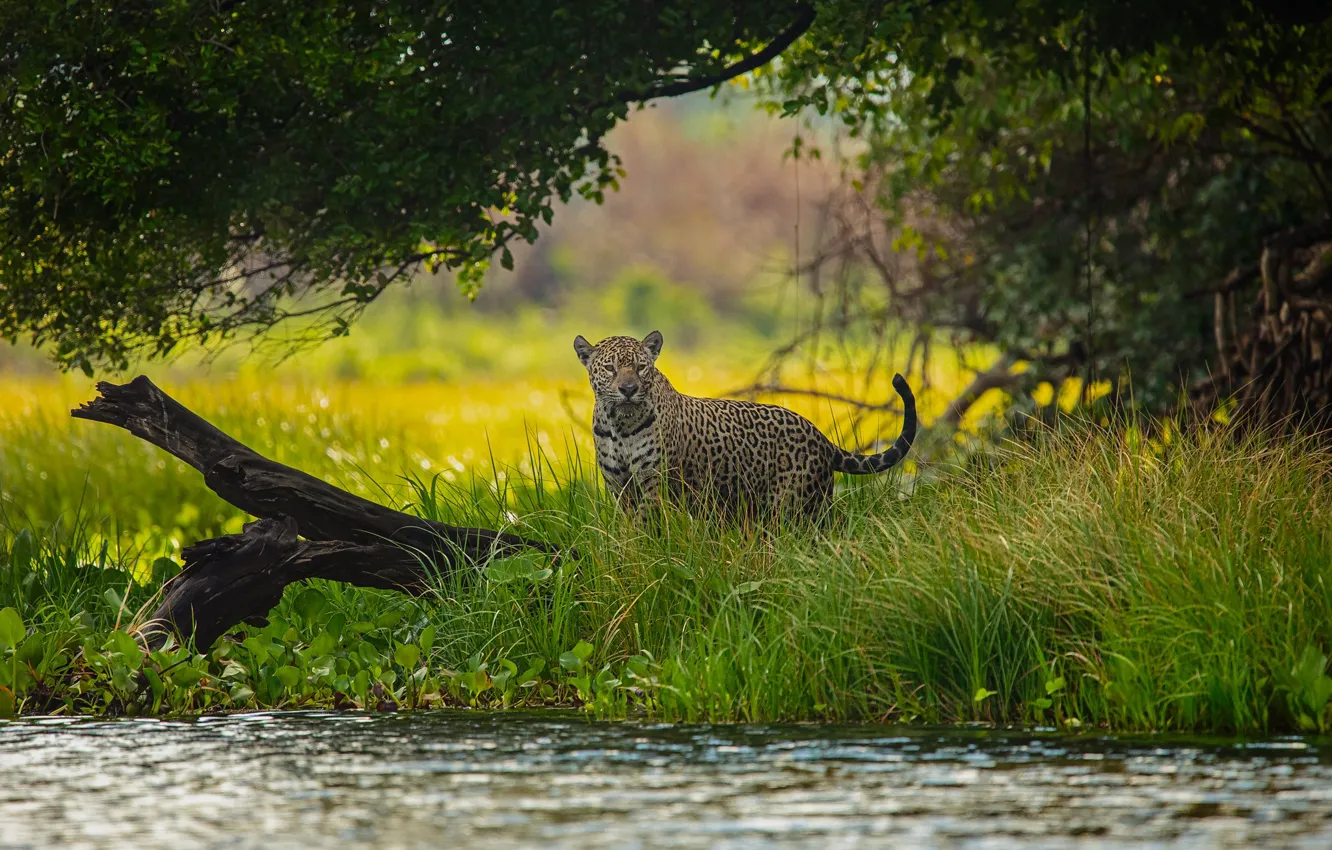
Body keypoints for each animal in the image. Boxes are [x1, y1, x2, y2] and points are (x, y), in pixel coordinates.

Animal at [573, 330, 917, 520]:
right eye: (610, 368)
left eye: (641, 368)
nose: (628, 389)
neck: (620, 426)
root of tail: (821, 437)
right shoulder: (619, 486)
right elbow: (629, 530)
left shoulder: (653, 482)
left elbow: (648, 525)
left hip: (798, 506)